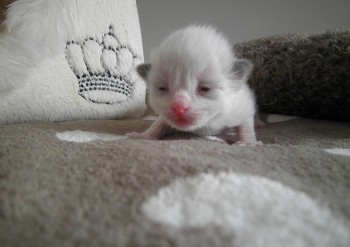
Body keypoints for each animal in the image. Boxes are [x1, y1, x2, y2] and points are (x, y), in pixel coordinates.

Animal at [127, 25, 262, 145]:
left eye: (205, 88)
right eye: (162, 88)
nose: (179, 107)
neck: (206, 123)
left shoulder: (241, 106)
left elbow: (246, 125)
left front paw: (248, 142)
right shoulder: (165, 115)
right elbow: (158, 124)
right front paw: (143, 136)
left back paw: (258, 123)